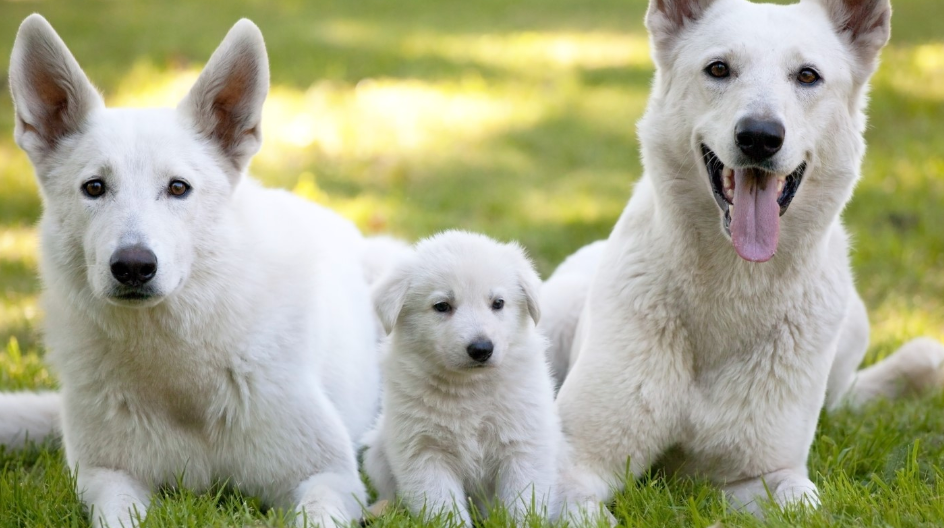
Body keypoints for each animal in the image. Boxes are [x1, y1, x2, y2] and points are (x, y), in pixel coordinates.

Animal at [4, 14, 380, 524]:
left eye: (178, 188)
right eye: (94, 187)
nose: (133, 266)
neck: (177, 374)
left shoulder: (330, 477)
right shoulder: (107, 478)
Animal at [544, 0, 944, 516]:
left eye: (808, 76)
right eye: (719, 69)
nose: (759, 137)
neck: (733, 286)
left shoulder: (768, 476)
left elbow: (803, 505)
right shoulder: (570, 466)